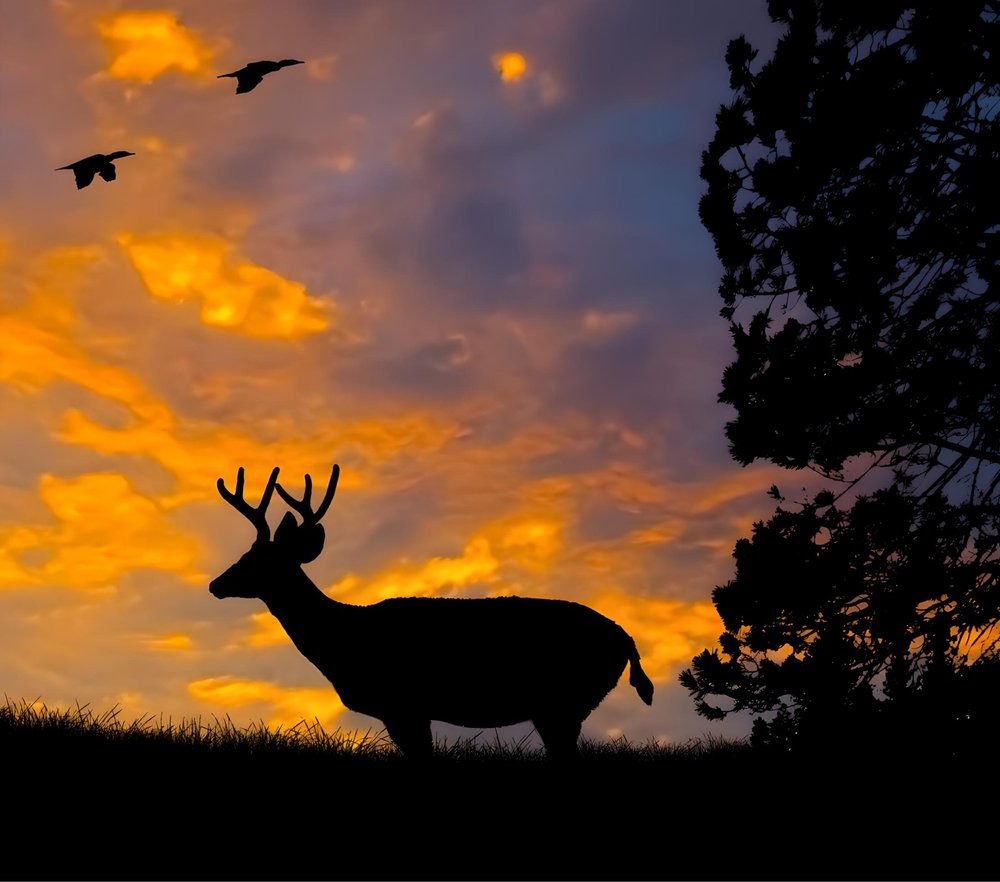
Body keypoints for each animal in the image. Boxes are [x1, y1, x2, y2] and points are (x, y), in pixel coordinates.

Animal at [209, 463, 655, 758]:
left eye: (254, 559)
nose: (216, 584)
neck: (344, 640)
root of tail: (626, 639)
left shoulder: (403, 704)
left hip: (563, 701)